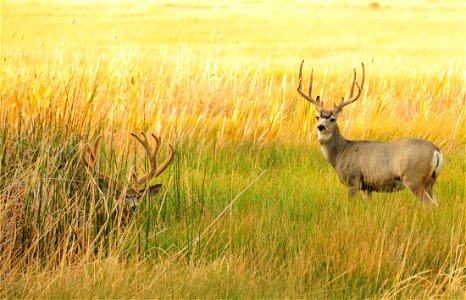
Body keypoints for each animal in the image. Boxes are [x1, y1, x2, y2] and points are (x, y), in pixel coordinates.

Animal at [296, 61, 442, 206]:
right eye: (317, 117)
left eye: (333, 119)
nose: (320, 127)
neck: (340, 153)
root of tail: (436, 151)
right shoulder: (368, 187)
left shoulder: (353, 180)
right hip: (429, 183)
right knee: (436, 202)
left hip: (414, 178)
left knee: (430, 204)